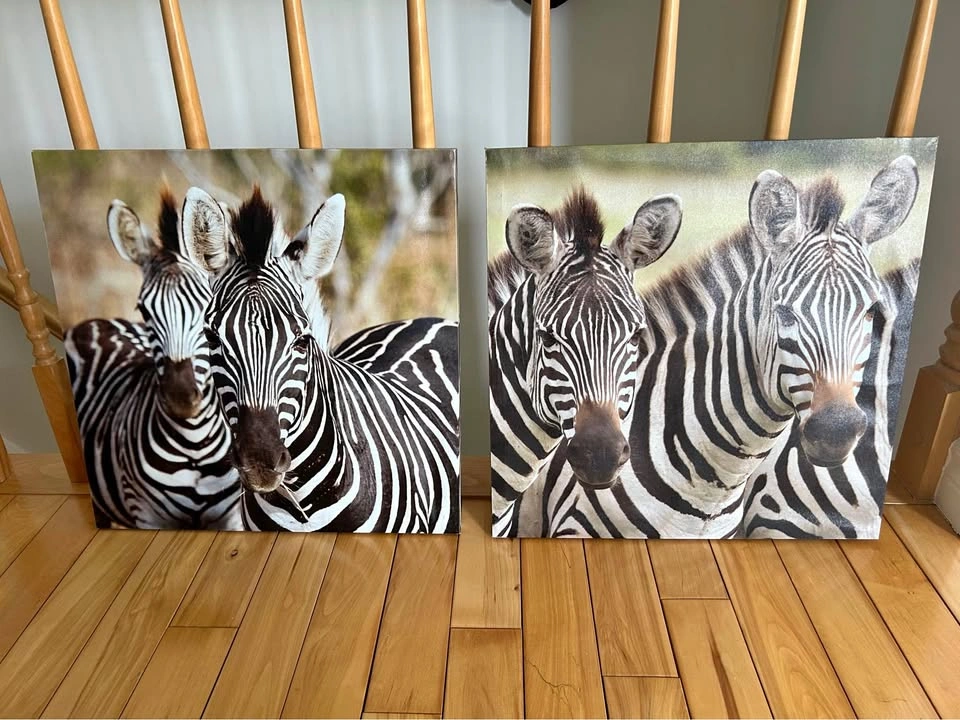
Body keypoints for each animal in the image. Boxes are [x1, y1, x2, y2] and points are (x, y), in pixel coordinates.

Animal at [65, 190, 241, 529]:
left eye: (208, 310)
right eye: (144, 311)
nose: (180, 396)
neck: (195, 444)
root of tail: (91, 323)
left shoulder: (232, 516)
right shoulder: (147, 516)